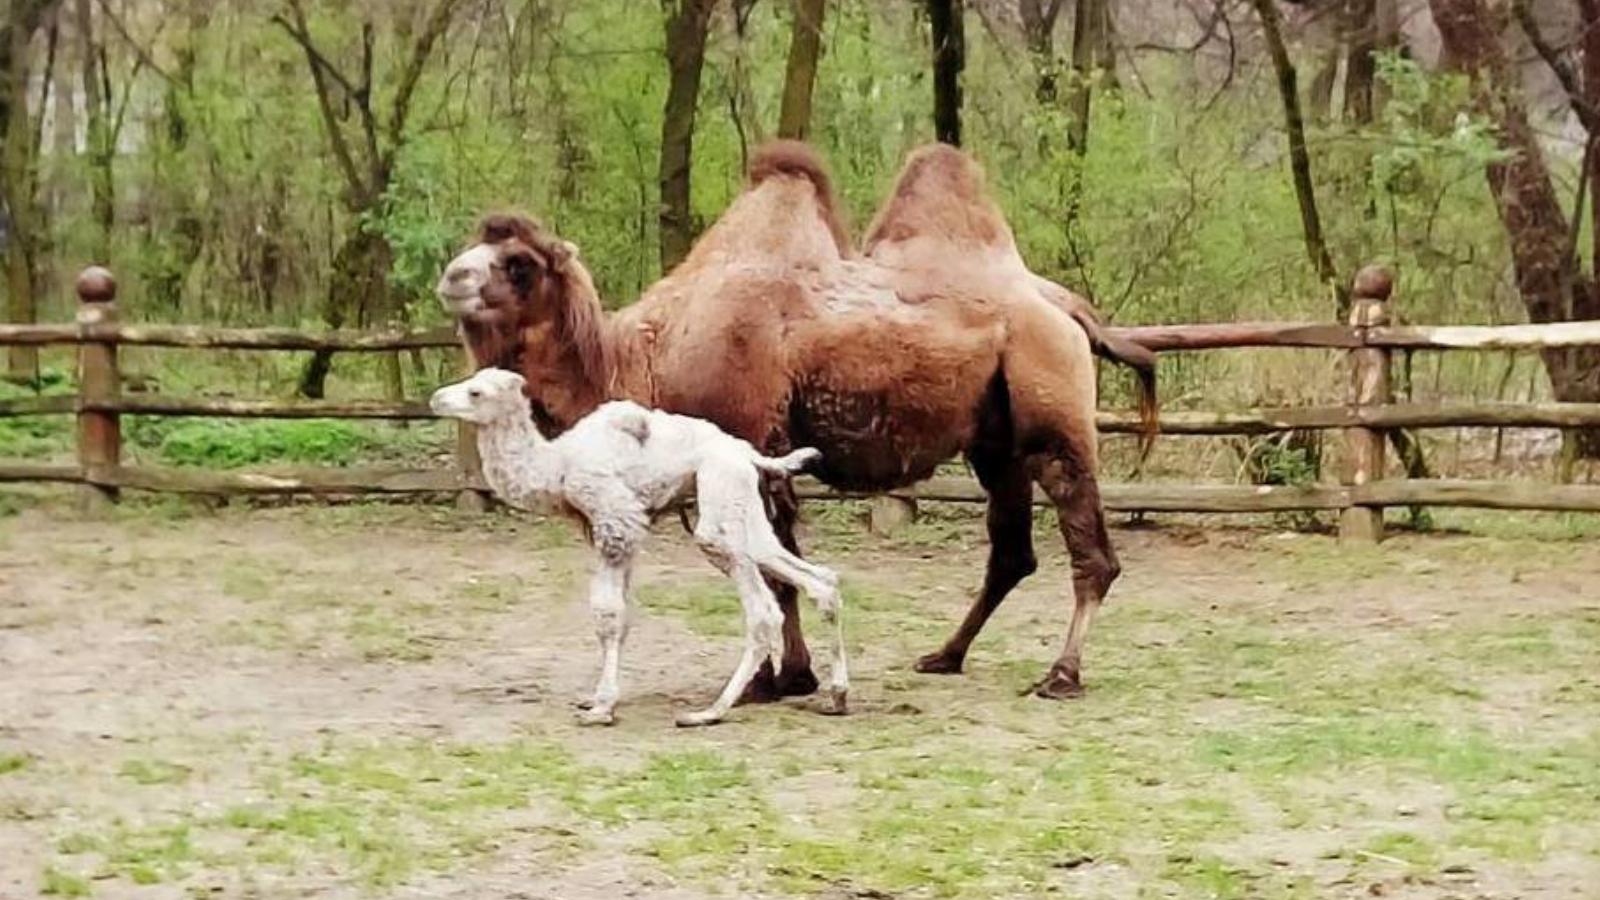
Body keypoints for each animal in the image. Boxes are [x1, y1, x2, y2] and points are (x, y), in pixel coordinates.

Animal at [425, 368, 851, 723]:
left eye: (476, 391)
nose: (436, 398)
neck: (556, 465)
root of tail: (749, 454)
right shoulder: (622, 529)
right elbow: (621, 615)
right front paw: (596, 698)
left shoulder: (615, 519)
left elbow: (607, 615)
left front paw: (601, 707)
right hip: (742, 503)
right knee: (818, 579)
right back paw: (838, 697)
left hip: (717, 503)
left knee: (762, 610)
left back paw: (710, 711)